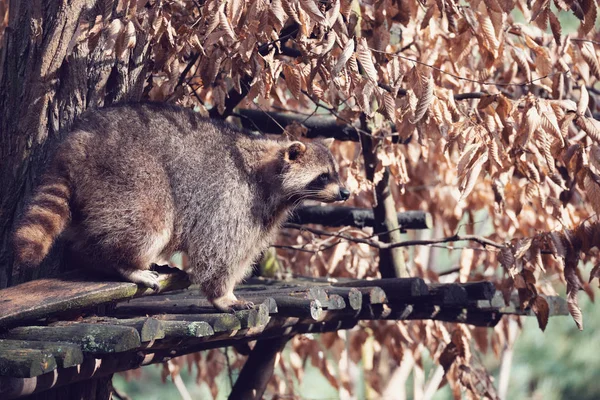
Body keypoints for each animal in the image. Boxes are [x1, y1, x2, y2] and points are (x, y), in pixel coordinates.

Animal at [11, 103, 350, 312]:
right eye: (324, 176)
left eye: (336, 174)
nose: (346, 193)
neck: (269, 171)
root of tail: (79, 139)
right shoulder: (232, 197)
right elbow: (218, 250)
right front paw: (222, 294)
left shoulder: (263, 212)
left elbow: (245, 251)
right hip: (128, 170)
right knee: (150, 222)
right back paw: (122, 262)